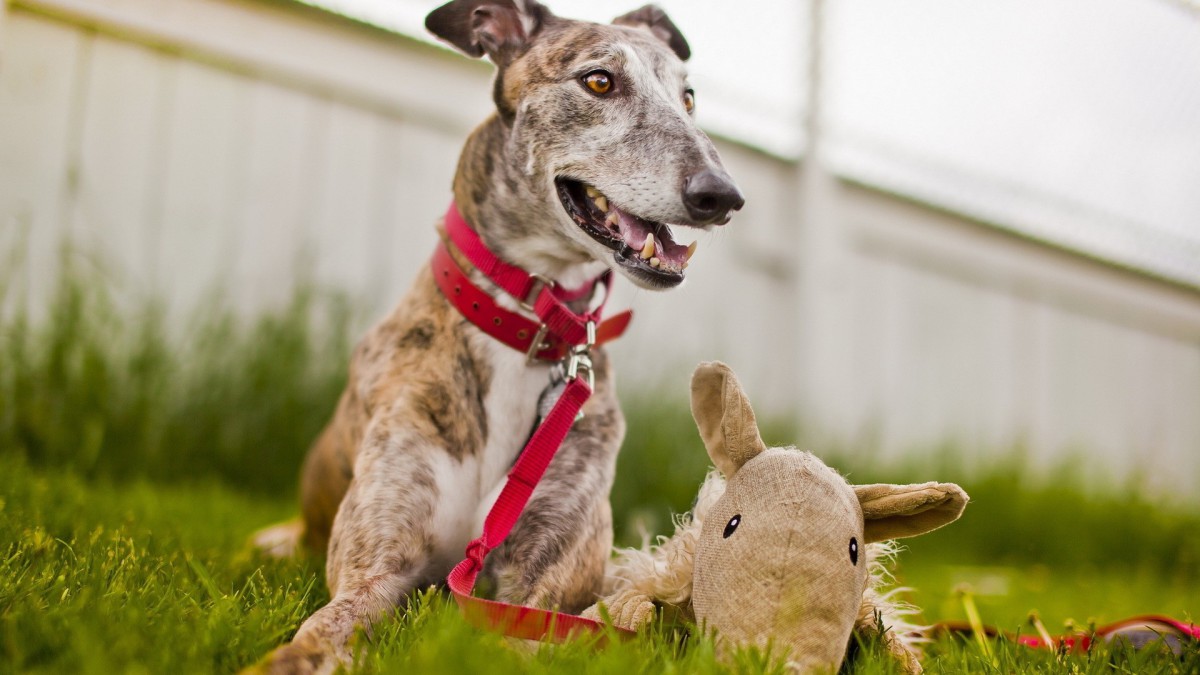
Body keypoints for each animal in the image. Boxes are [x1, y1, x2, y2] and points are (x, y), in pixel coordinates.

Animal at [252, 2, 739, 667]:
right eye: (599, 81)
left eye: (688, 98)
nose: (723, 195)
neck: (526, 327)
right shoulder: (376, 569)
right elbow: (318, 634)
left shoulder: (541, 588)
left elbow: (524, 640)